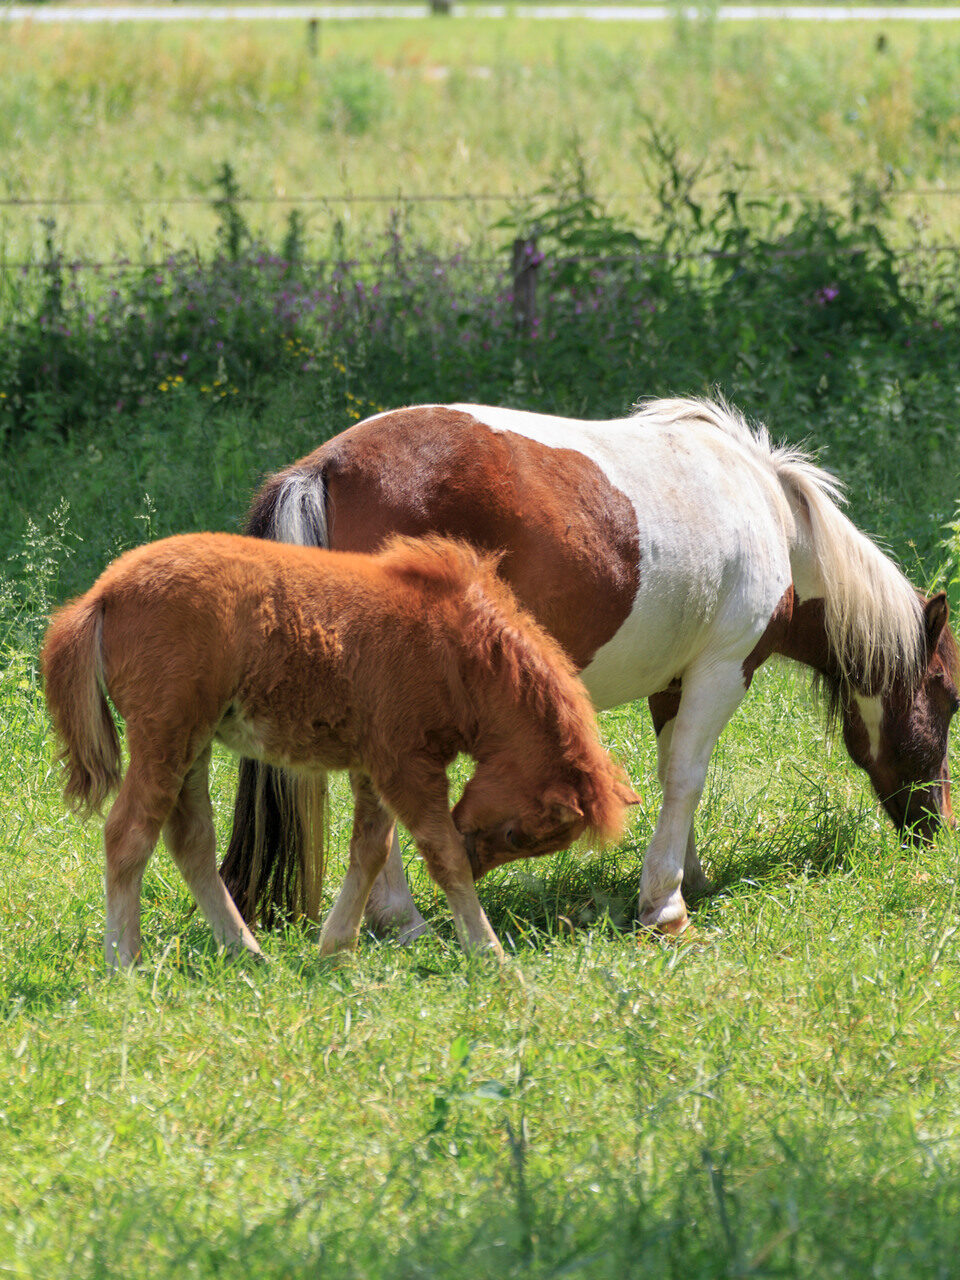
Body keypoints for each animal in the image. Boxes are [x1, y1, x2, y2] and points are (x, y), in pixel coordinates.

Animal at [42, 532, 638, 967]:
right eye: (519, 834)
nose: (481, 860)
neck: (456, 652)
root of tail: (103, 594)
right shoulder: (408, 767)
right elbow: (441, 855)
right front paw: (489, 953)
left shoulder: (376, 766)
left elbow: (370, 850)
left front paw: (336, 947)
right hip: (164, 738)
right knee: (128, 837)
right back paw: (123, 962)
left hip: (191, 746)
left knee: (190, 844)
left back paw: (247, 953)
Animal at [219, 396, 960, 941]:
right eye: (948, 697)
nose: (937, 829)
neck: (773, 515)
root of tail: (325, 467)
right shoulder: (723, 670)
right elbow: (687, 775)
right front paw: (664, 905)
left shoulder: (673, 682)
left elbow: (674, 776)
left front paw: (685, 873)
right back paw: (403, 921)